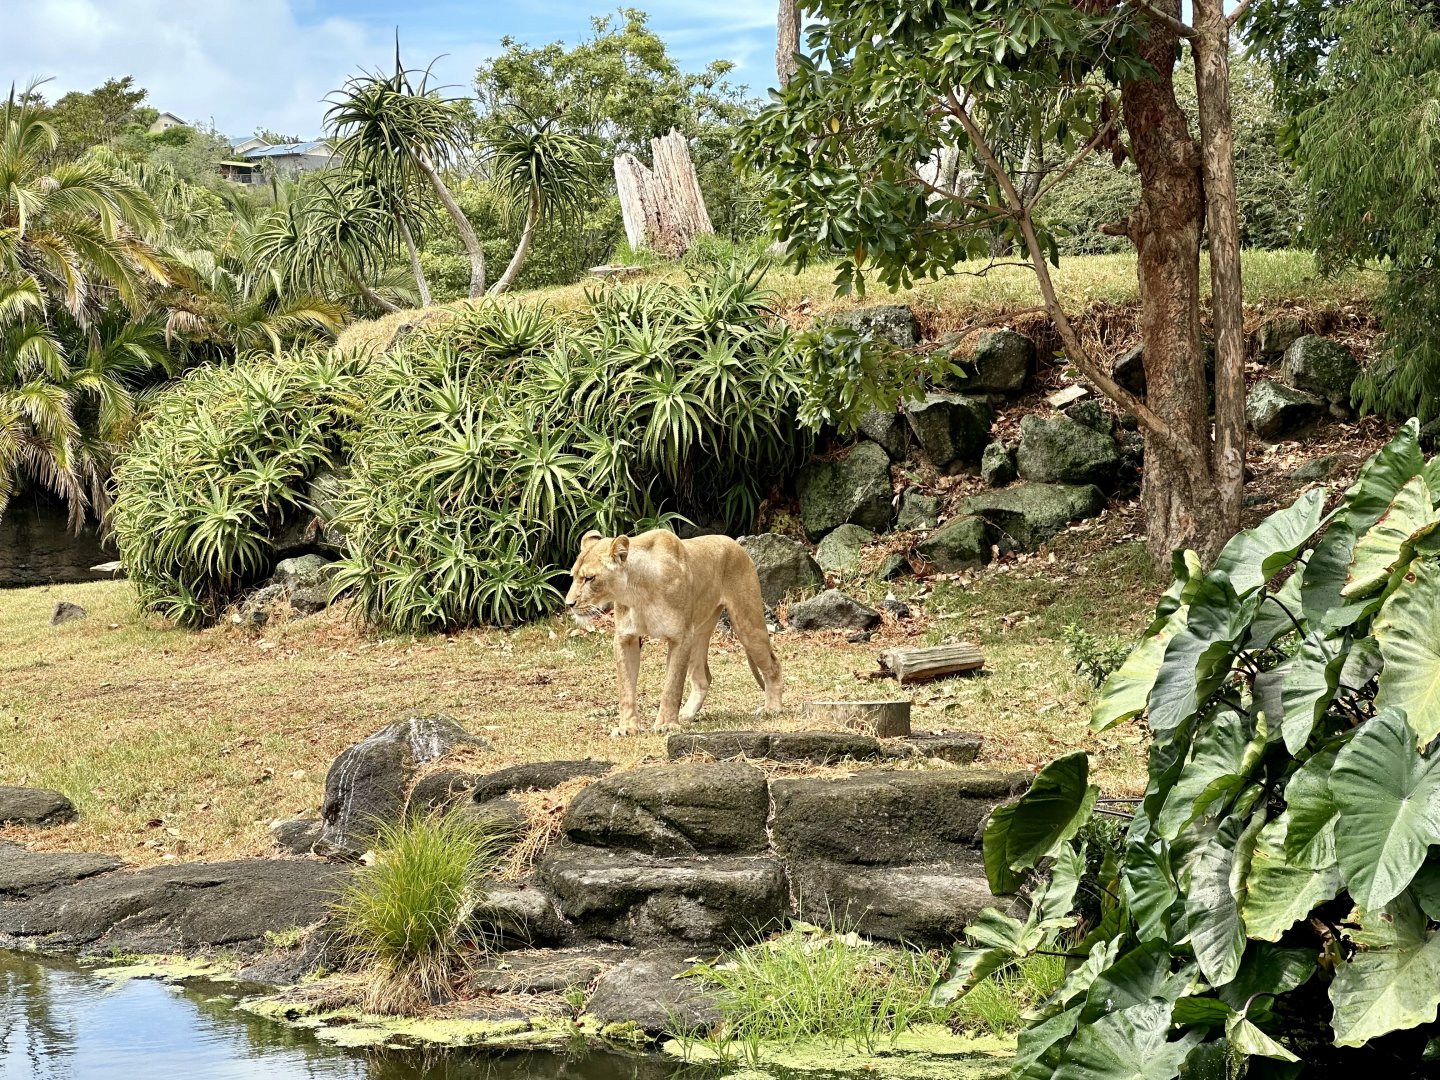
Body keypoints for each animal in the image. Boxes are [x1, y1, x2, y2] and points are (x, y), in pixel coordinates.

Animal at [565, 529, 783, 737]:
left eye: (590, 578)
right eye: (573, 577)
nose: (569, 604)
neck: (637, 593)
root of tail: (736, 544)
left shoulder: (681, 637)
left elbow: (672, 686)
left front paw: (667, 725)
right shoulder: (625, 638)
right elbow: (626, 689)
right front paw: (627, 727)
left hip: (746, 623)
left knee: (773, 665)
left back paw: (772, 708)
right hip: (699, 633)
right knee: (703, 678)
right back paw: (686, 714)